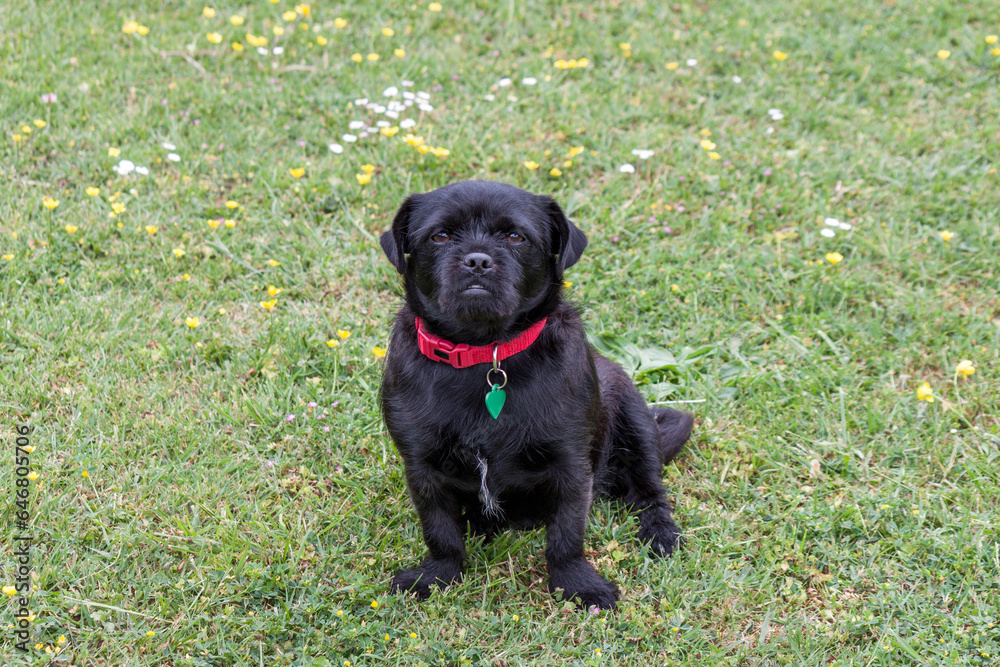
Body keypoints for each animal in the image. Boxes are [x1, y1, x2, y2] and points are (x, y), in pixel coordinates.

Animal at [378, 181, 692, 612]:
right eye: (439, 236)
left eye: (516, 237)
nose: (477, 261)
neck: (486, 355)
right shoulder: (423, 466)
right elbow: (440, 531)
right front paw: (437, 575)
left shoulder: (570, 465)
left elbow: (566, 535)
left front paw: (578, 584)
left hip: (637, 425)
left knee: (650, 492)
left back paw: (660, 533)